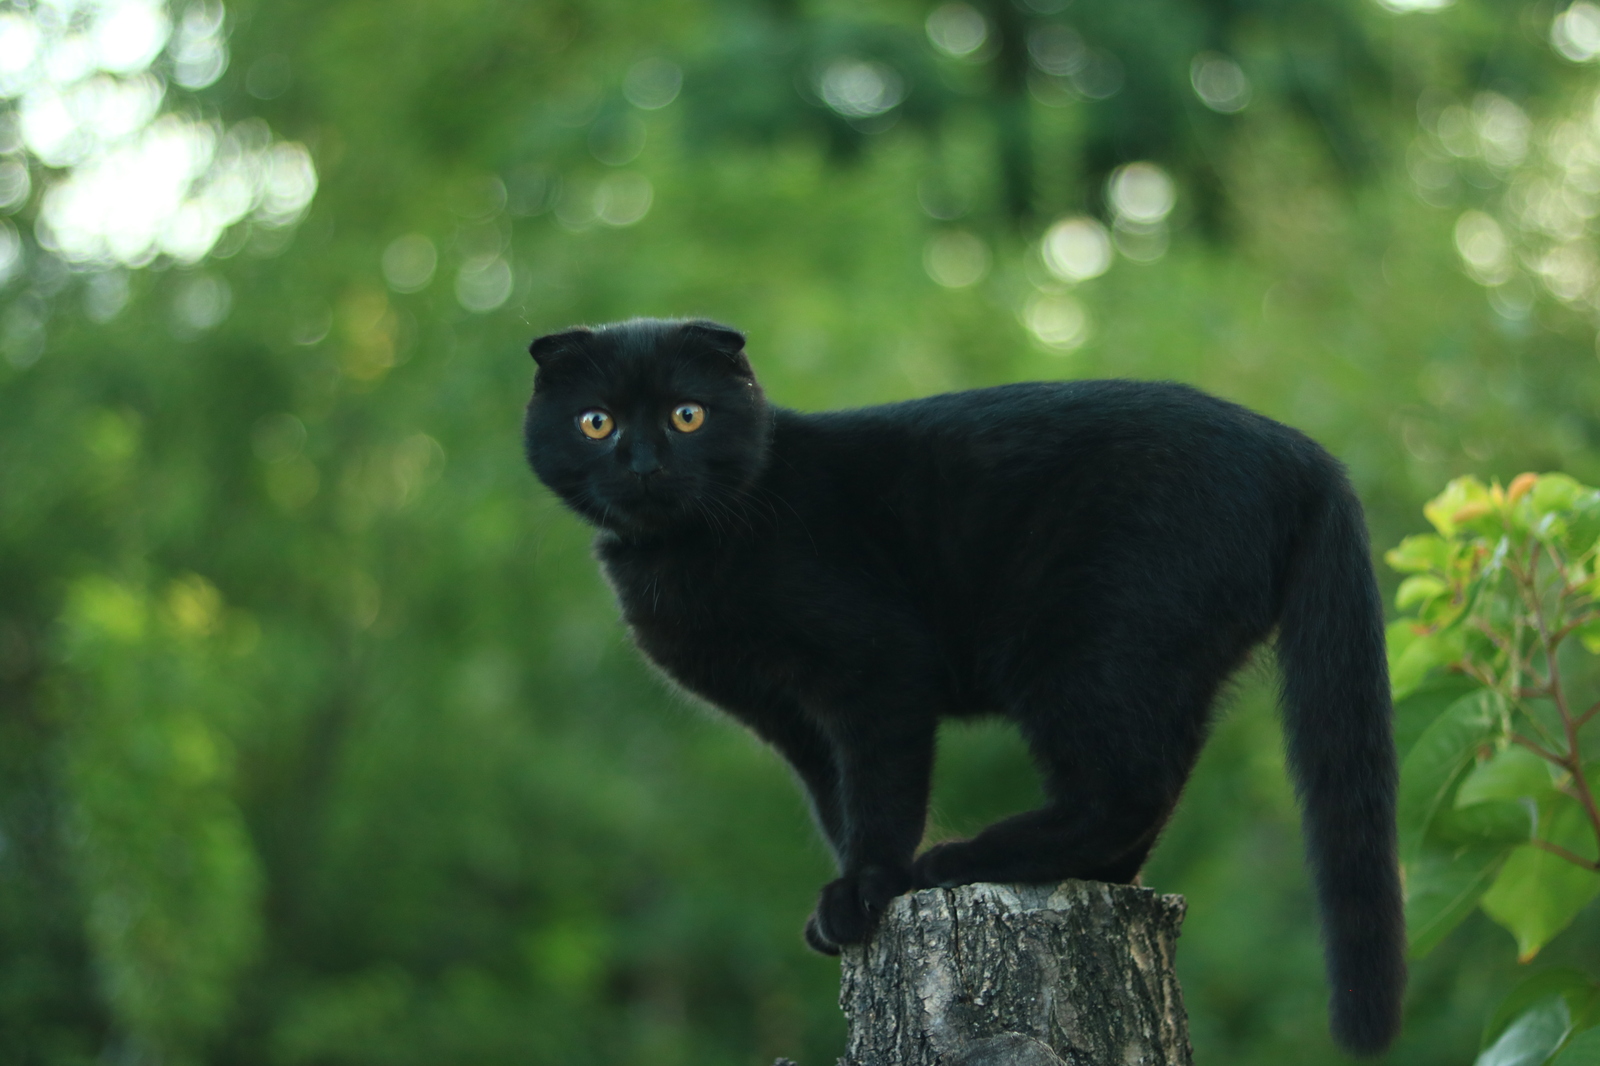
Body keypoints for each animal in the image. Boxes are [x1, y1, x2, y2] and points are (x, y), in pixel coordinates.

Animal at [521, 312, 1401, 1049]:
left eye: (687, 415)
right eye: (596, 422)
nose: (643, 464)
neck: (683, 553)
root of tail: (1304, 454)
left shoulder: (877, 667)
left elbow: (879, 792)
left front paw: (868, 890)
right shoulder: (791, 718)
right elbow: (834, 799)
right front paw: (857, 895)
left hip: (1086, 647)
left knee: (1125, 787)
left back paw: (971, 857)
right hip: (1157, 662)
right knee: (1151, 784)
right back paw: (1089, 874)